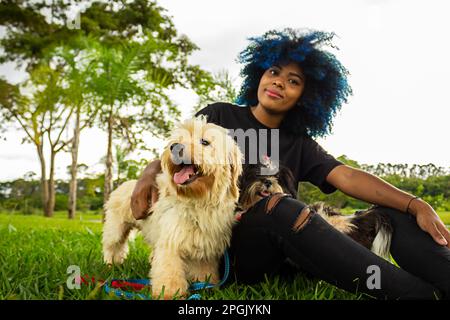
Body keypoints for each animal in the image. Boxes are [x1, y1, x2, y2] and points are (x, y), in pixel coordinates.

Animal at [102, 116, 243, 298]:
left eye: (205, 142)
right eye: (177, 140)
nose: (175, 147)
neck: (197, 200)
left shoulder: (205, 248)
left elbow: (204, 272)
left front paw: (205, 287)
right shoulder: (170, 244)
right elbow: (169, 275)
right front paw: (170, 294)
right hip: (115, 230)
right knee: (113, 246)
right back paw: (111, 265)